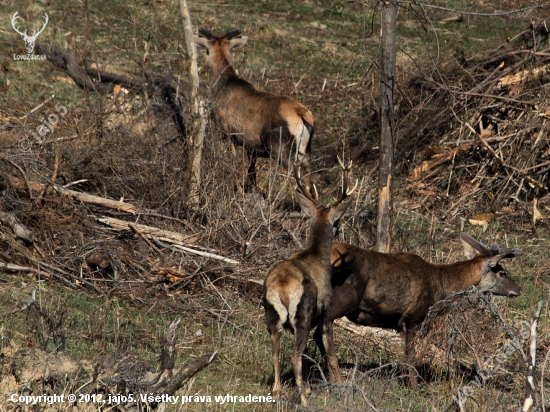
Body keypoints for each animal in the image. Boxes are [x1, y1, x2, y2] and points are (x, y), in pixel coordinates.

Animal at [195, 29, 316, 196]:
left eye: (206, 50)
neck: (222, 85)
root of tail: (304, 117)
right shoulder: (251, 147)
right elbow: (252, 172)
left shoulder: (227, 130)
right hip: (305, 151)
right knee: (311, 178)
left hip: (281, 149)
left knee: (302, 179)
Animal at [264, 158, 358, 406]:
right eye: (337, 220)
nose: (340, 228)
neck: (317, 256)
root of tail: (282, 285)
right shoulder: (327, 312)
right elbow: (331, 354)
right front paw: (341, 386)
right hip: (303, 314)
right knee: (293, 356)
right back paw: (304, 400)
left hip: (271, 315)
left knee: (275, 352)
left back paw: (279, 393)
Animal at [328, 232, 528, 384]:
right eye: (502, 273)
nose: (518, 289)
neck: (440, 286)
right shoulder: (410, 319)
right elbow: (411, 359)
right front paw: (412, 387)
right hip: (341, 299)